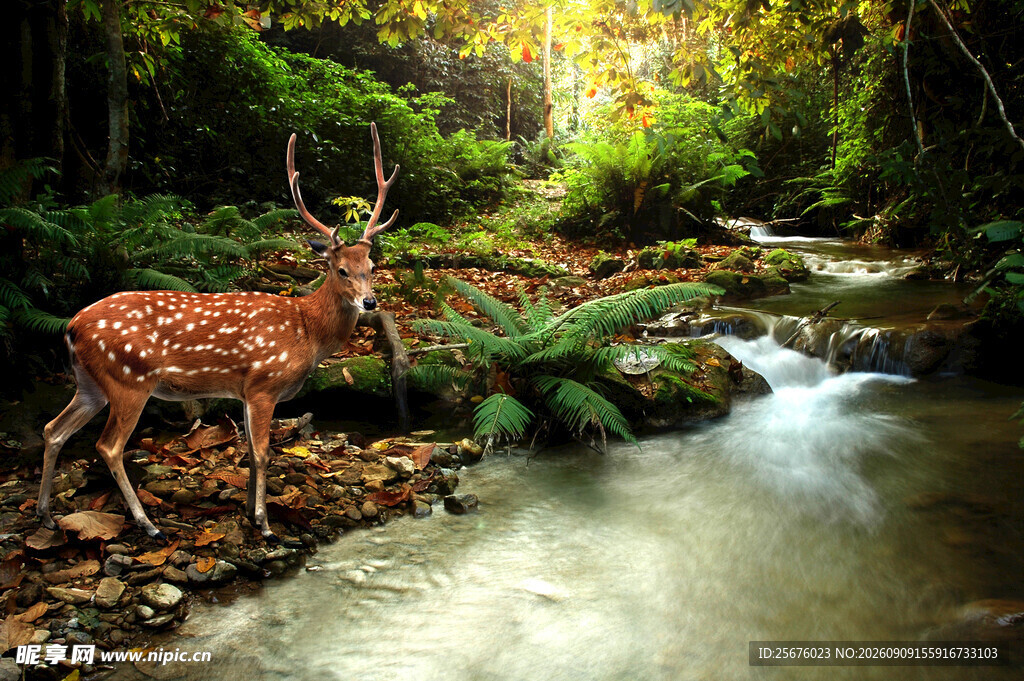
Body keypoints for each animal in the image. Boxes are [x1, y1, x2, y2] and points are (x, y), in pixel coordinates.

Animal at [36, 123, 399, 541]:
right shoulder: (264, 384)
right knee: (108, 446)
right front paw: (265, 525)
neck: (305, 331)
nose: (370, 302)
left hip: (90, 383)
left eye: (371, 266)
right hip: (130, 379)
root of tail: (71, 326)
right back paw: (149, 525)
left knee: (53, 429)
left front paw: (249, 513)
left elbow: (250, 452)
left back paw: (46, 515)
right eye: (340, 269)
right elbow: (263, 452)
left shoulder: (244, 390)